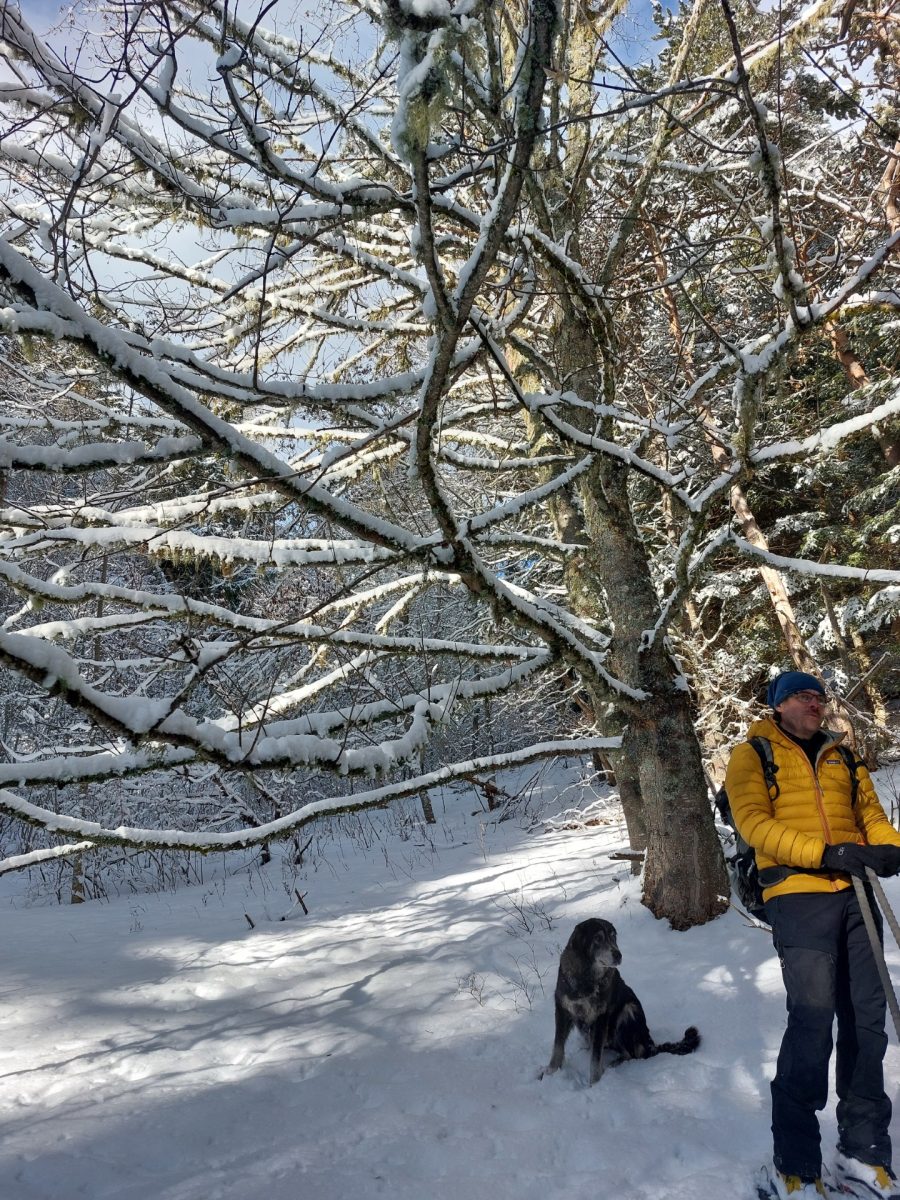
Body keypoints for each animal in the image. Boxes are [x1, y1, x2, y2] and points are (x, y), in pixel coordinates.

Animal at [541, 917, 700, 1086]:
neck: (586, 976)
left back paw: (612, 1065)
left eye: (613, 937)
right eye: (598, 938)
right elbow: (558, 1046)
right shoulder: (562, 1010)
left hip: (628, 1010)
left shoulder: (601, 1018)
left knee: (632, 1054)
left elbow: (595, 1058)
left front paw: (595, 1083)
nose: (618, 955)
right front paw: (550, 1072)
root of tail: (650, 1043)